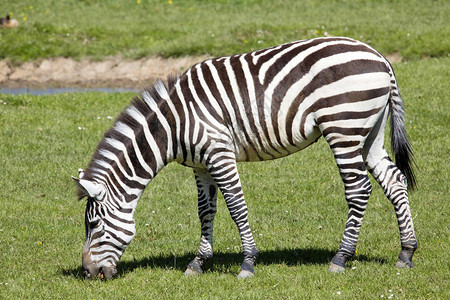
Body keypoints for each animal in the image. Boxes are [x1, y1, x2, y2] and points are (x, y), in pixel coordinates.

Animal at [73, 37, 418, 278]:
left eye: (93, 224)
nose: (88, 273)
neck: (173, 126)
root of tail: (379, 57)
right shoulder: (200, 165)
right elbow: (206, 211)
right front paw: (198, 263)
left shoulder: (219, 153)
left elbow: (237, 207)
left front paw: (248, 263)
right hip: (369, 132)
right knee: (394, 181)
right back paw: (406, 253)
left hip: (343, 128)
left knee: (359, 189)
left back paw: (341, 257)